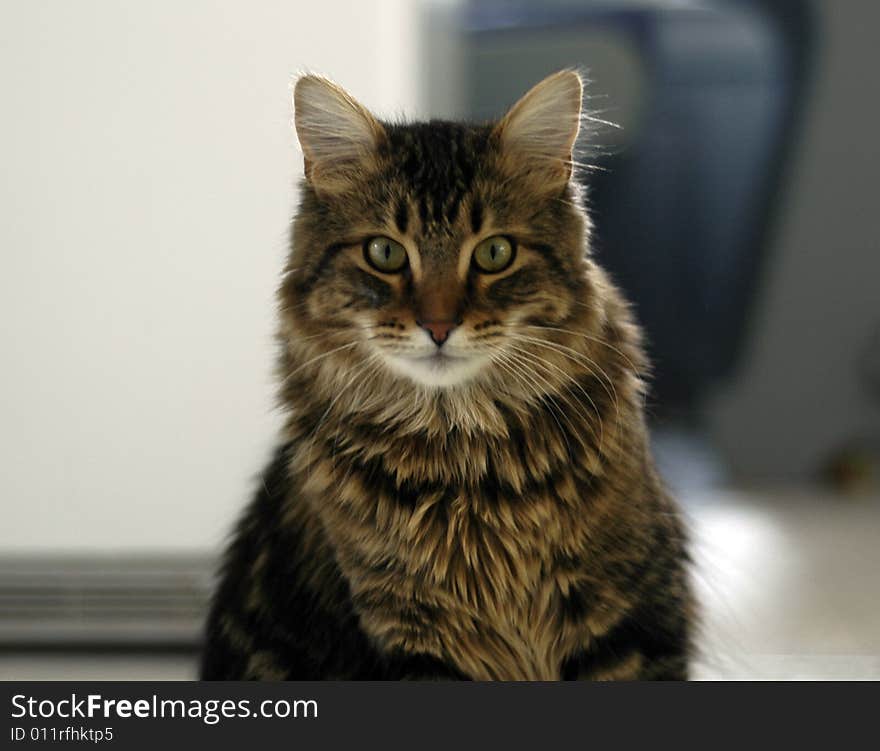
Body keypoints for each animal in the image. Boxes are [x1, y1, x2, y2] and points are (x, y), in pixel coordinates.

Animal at [199, 70, 696, 680]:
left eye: (495, 253)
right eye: (384, 252)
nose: (438, 326)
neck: (465, 462)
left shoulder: (631, 618)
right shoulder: (415, 634)